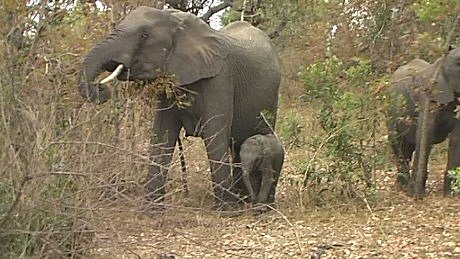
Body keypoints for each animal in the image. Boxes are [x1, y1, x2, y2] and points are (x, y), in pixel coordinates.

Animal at [76, 7, 280, 211]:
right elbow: (163, 132)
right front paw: (151, 211)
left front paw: (227, 212)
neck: (178, 22)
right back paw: (243, 200)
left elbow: (214, 133)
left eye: (144, 35)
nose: (101, 88)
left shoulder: (220, 79)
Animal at [386, 47, 460, 197]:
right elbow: (425, 135)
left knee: (409, 147)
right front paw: (416, 195)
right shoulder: (428, 96)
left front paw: (450, 195)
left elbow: (456, 138)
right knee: (398, 143)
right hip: (390, 111)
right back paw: (403, 188)